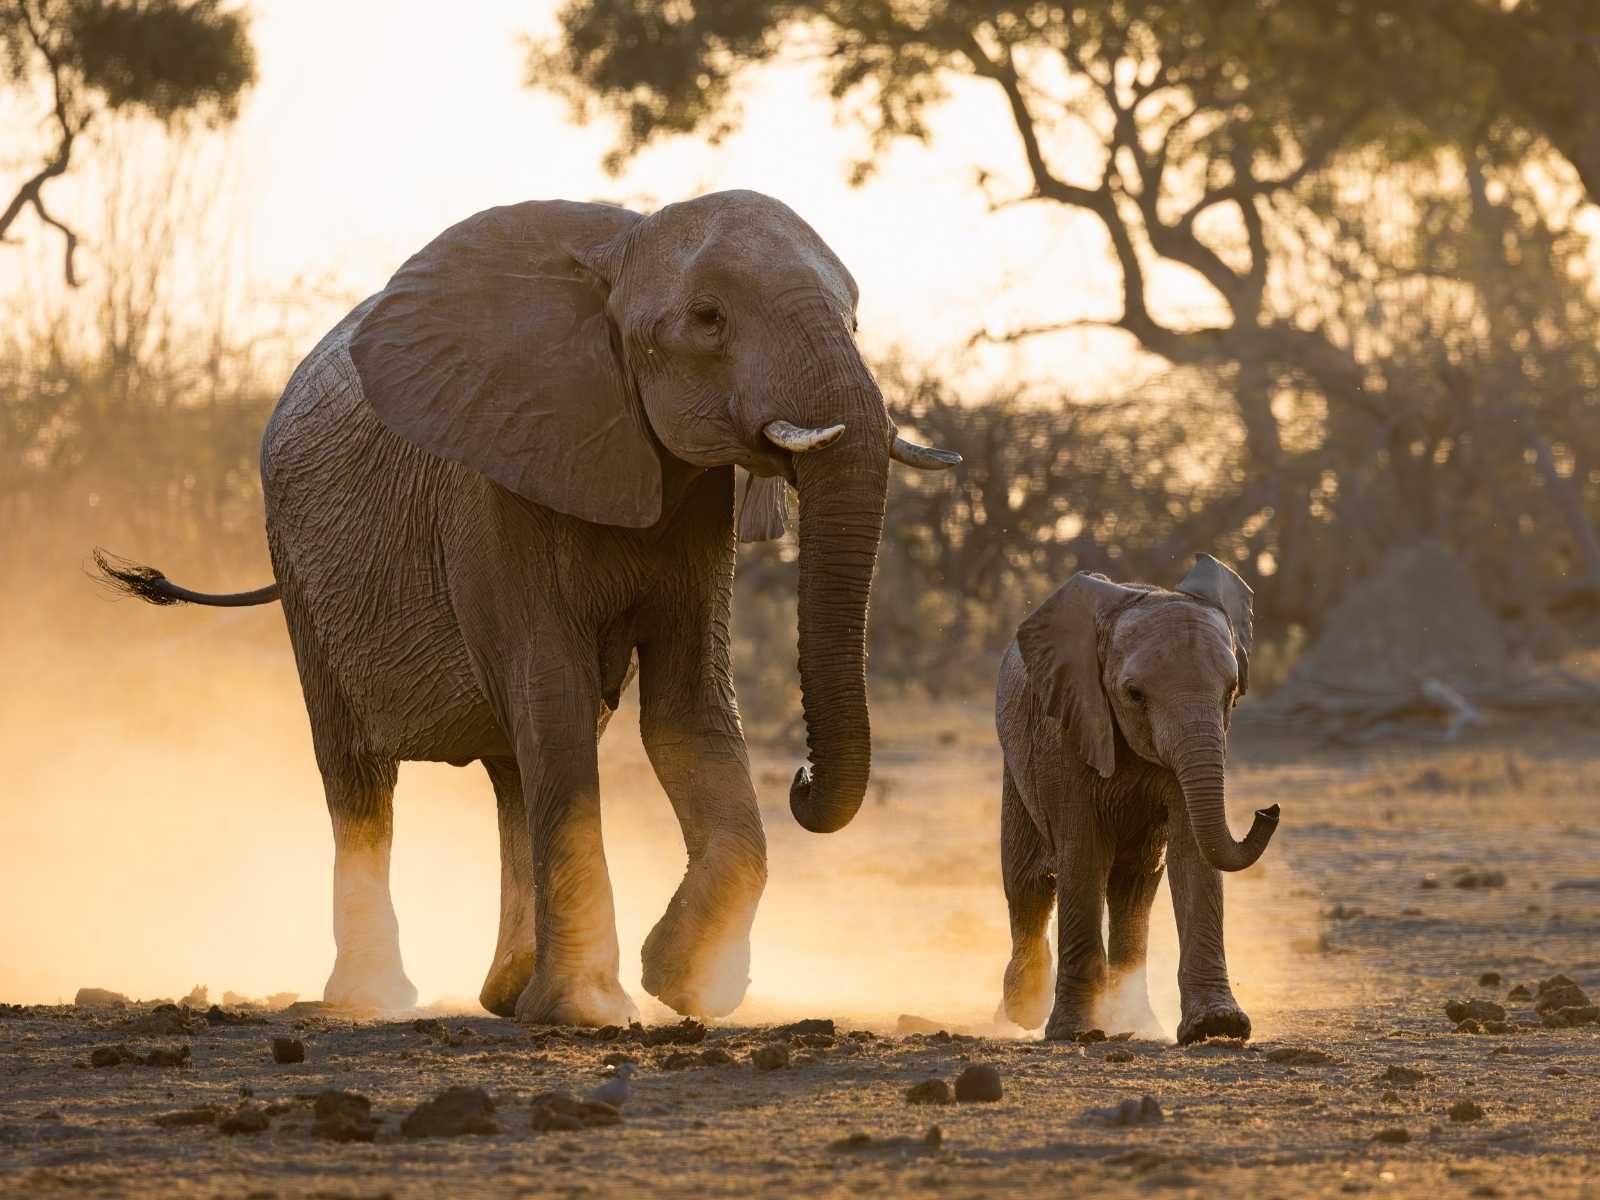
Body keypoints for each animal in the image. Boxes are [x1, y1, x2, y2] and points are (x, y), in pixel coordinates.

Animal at [94, 189, 959, 1024]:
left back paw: (506, 993)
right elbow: (555, 692)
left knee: (515, 771)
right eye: (708, 319)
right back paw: (375, 998)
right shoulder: (492, 487)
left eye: (855, 318)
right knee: (361, 777)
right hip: (297, 565)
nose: (803, 782)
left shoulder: (696, 504)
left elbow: (686, 710)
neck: (617, 254)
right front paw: (592, 1011)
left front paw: (689, 986)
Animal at [994, 554, 1281, 1044]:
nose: (1268, 810)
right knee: (1028, 882)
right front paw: (1075, 1033)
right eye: (1133, 694)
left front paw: (1216, 1026)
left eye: (1232, 693)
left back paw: (1134, 1023)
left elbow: (1192, 851)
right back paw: (1023, 1011)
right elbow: (1082, 854)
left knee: (1135, 886)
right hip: (1016, 764)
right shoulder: (1065, 731)